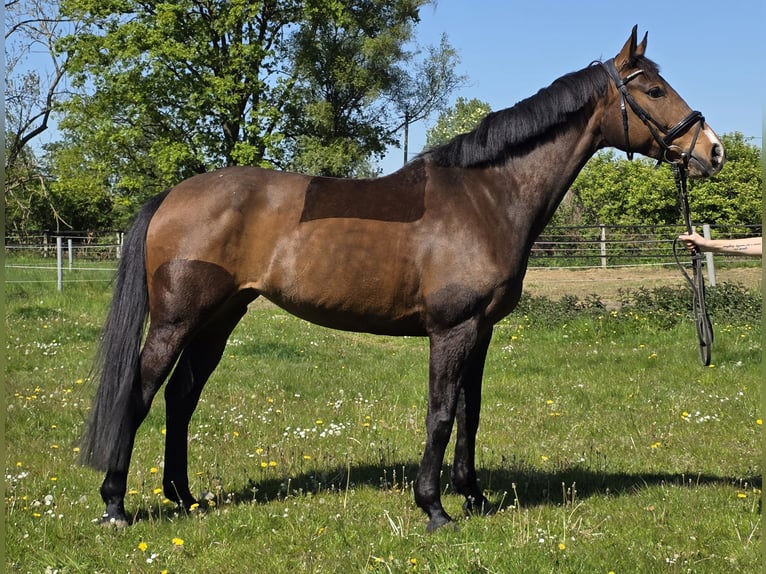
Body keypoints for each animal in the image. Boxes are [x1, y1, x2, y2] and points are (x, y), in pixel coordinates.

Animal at [80, 26, 724, 532]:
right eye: (653, 89)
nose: (713, 151)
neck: (485, 197)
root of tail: (172, 195)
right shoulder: (451, 330)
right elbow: (440, 412)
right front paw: (434, 508)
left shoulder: (480, 332)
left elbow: (469, 412)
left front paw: (475, 497)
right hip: (176, 319)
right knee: (141, 393)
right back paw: (115, 505)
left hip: (220, 317)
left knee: (182, 396)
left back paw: (185, 498)